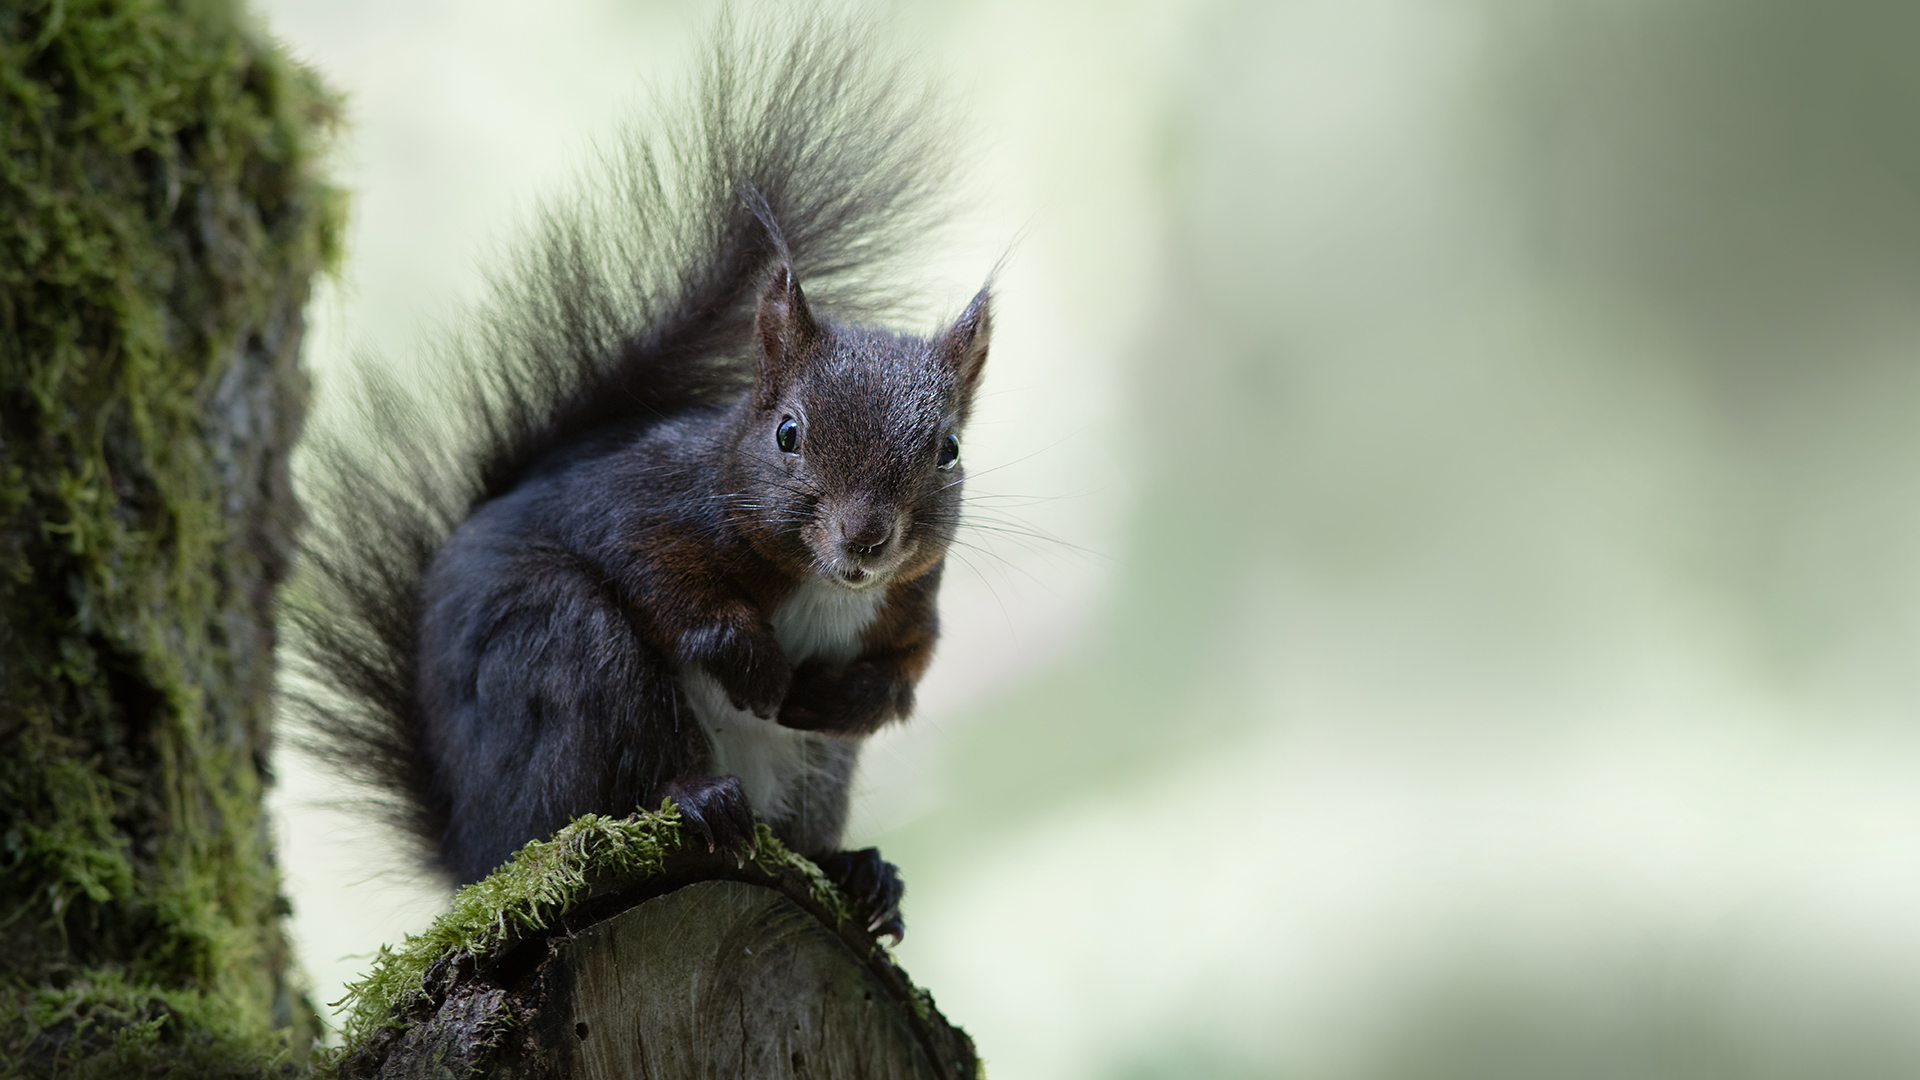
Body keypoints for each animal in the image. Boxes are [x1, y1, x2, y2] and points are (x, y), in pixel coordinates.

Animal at [291, 8, 998, 937]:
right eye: (788, 433)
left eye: (947, 449)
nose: (866, 539)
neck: (822, 584)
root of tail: (472, 854)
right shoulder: (637, 501)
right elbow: (659, 578)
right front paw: (748, 660)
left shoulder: (913, 598)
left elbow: (911, 664)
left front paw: (847, 699)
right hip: (560, 656)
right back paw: (693, 798)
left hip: (816, 775)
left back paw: (857, 870)